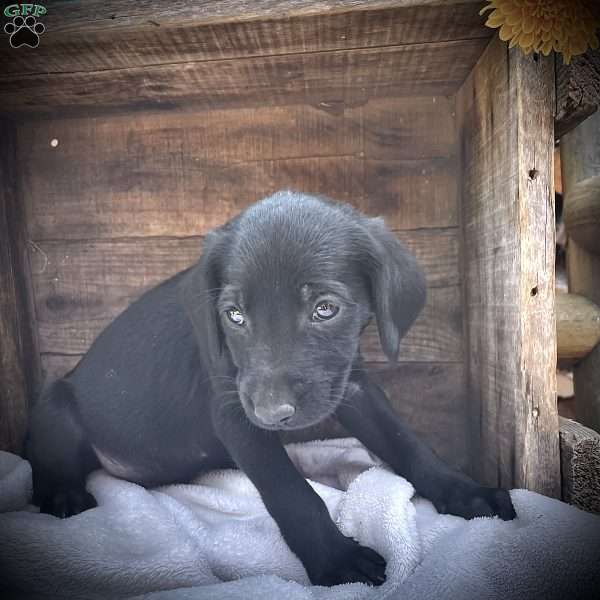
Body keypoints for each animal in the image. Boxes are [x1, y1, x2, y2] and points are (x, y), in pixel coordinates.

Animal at [28, 191, 516, 584]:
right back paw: (63, 495)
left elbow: (407, 443)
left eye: (325, 309)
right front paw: (336, 559)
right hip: (55, 401)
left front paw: (464, 491)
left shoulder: (350, 385)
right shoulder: (234, 412)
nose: (270, 413)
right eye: (234, 315)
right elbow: (291, 491)